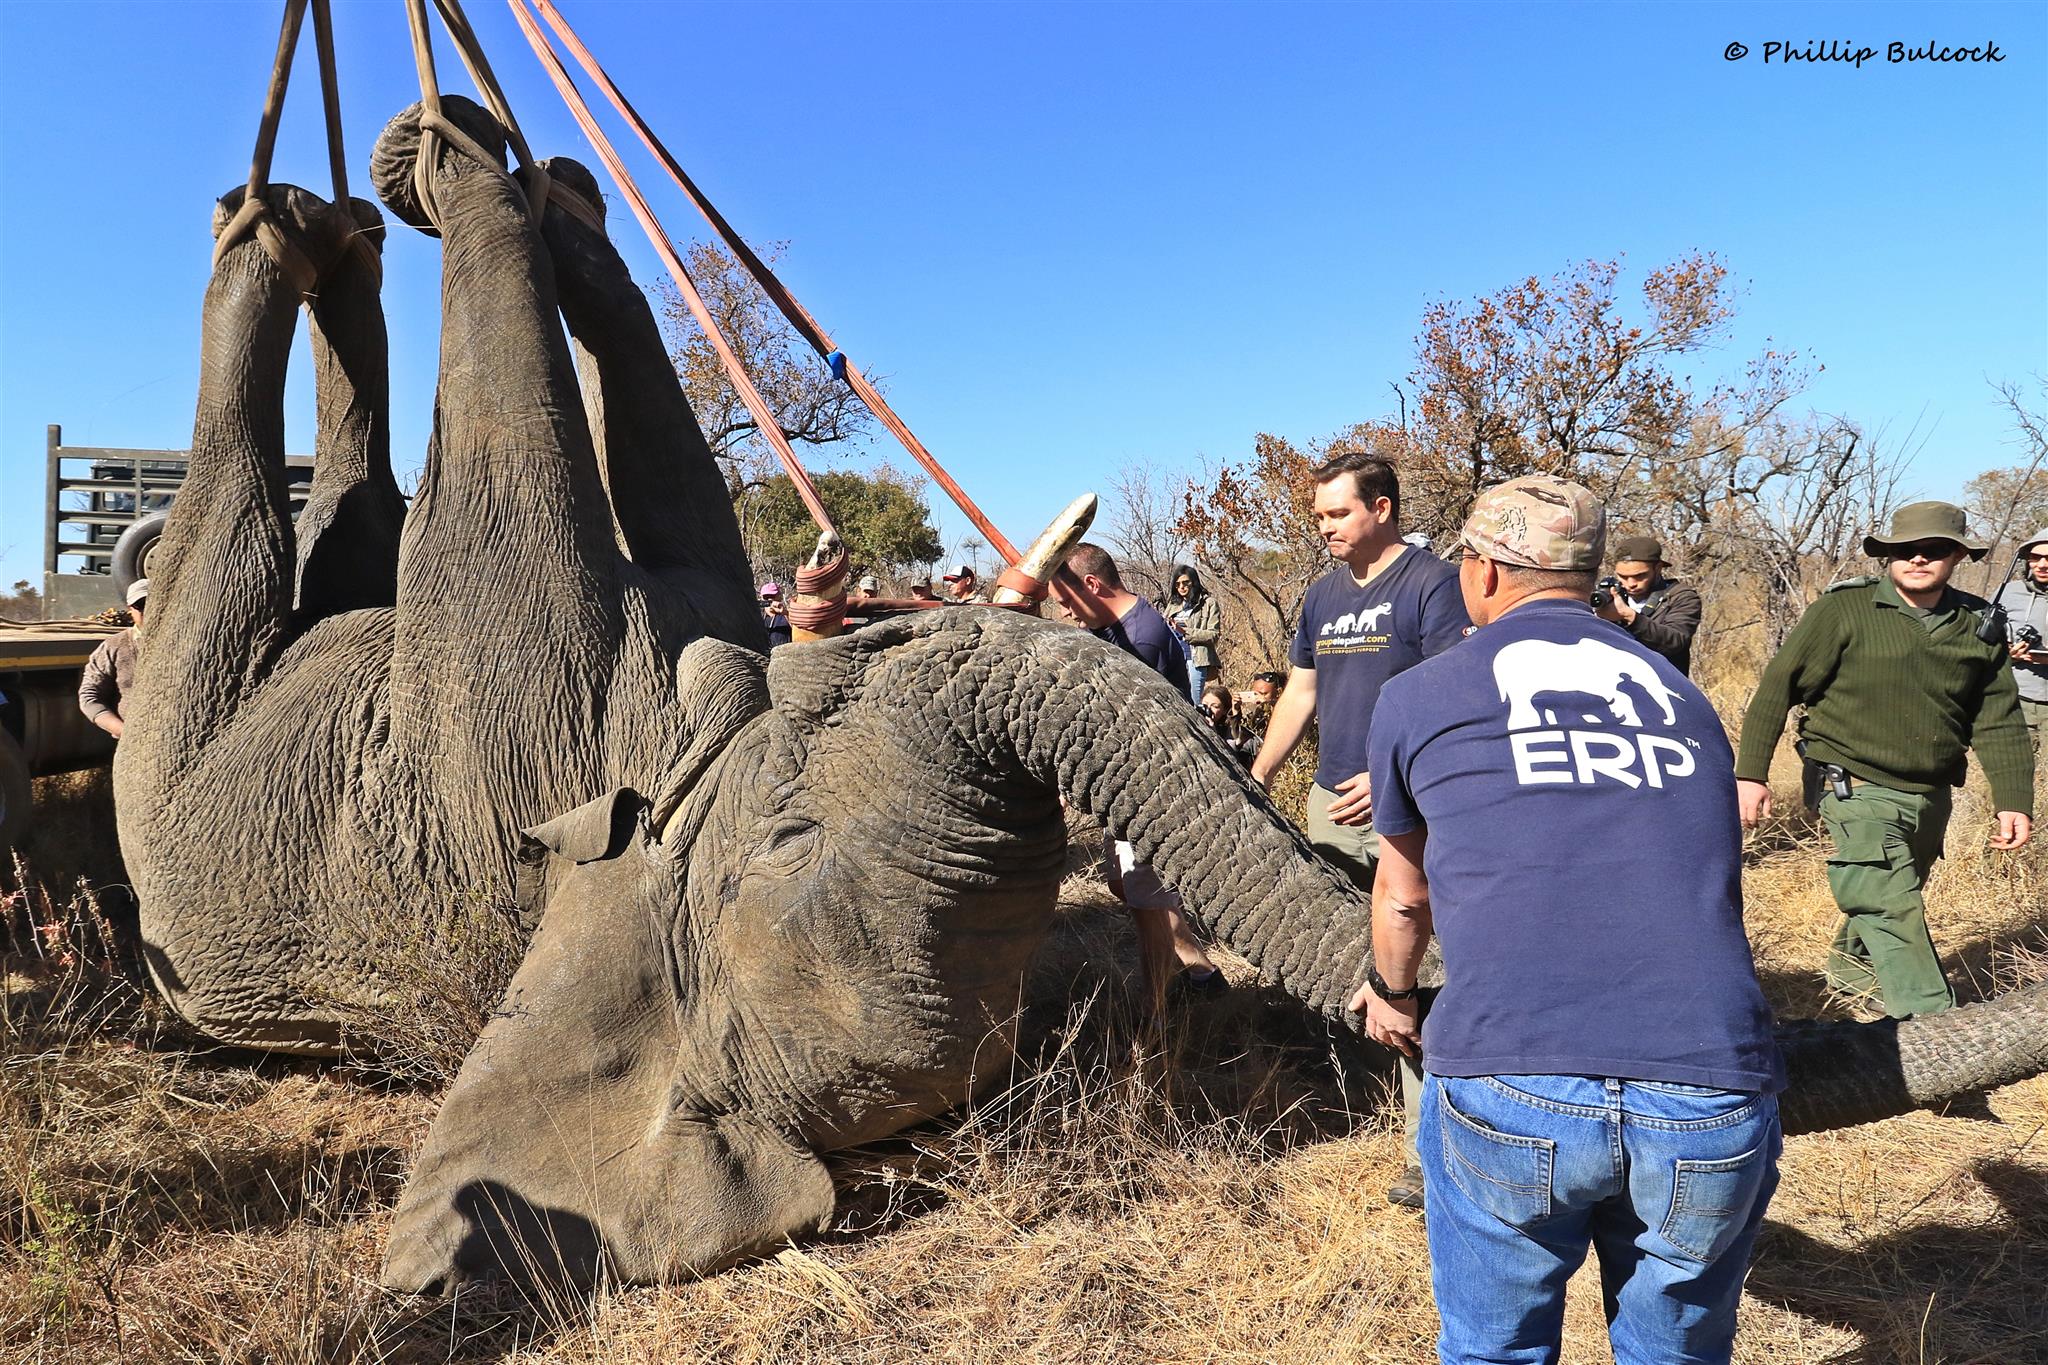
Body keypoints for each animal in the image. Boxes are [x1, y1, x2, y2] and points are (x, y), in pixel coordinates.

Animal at [123, 96, 2048, 1293]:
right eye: (793, 821)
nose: (851, 625)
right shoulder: (483, 757)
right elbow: (527, 522)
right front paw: (457, 163)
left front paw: (498, 175)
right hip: (207, 796)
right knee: (259, 559)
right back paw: (355, 200)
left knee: (393, 501)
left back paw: (433, 194)